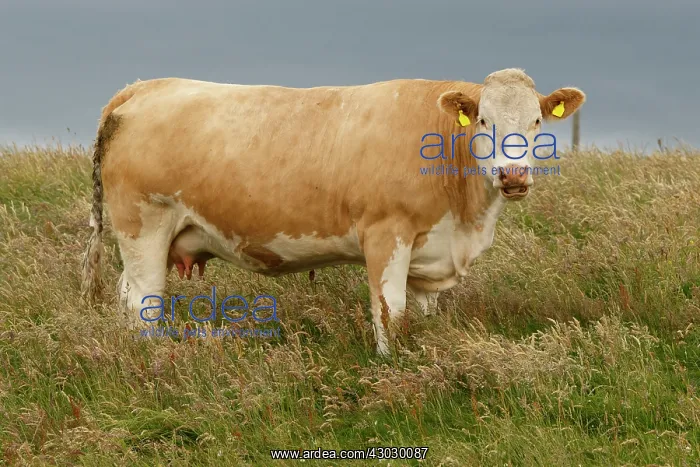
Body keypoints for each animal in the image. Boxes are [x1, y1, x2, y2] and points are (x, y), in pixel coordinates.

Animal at [80, 68, 585, 355]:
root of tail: (143, 87)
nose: (512, 175)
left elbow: (422, 315)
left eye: (536, 121)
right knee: (143, 302)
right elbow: (390, 311)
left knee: (127, 295)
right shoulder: (385, 233)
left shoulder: (431, 250)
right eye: (483, 120)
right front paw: (392, 366)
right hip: (142, 224)